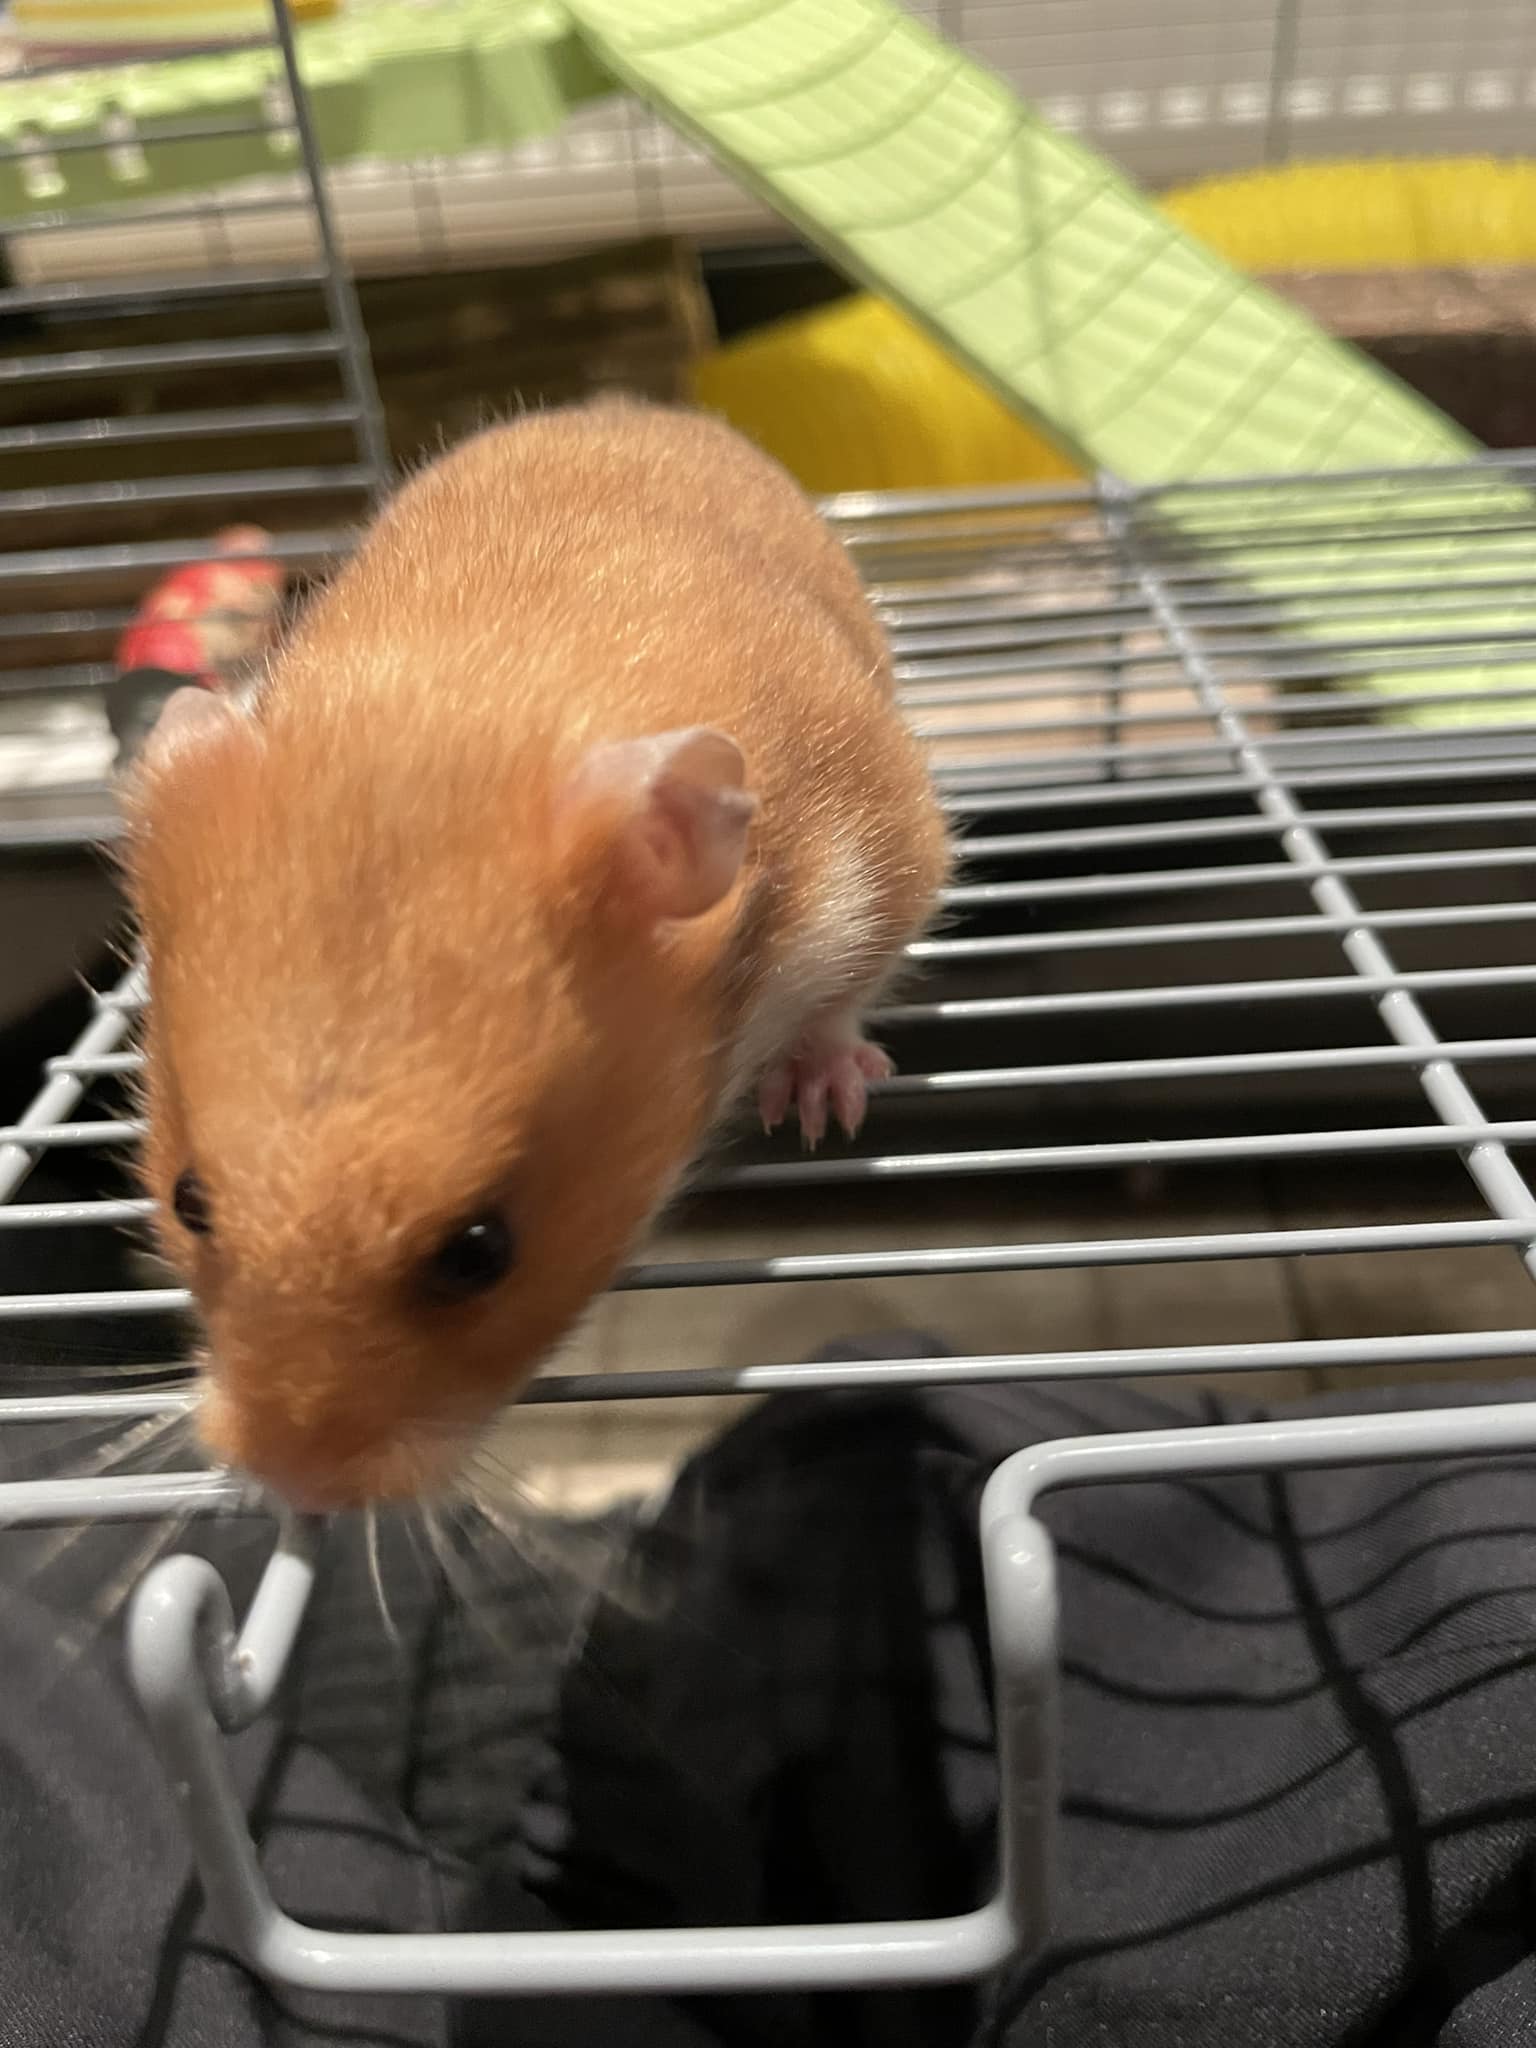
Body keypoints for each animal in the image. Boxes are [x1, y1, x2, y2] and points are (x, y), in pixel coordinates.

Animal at [125, 400, 950, 1510]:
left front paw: (821, 1107)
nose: (293, 1485)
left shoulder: (885, 858)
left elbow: (841, 1002)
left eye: (481, 1251)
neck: (477, 709)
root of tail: (636, 407)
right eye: (188, 1200)